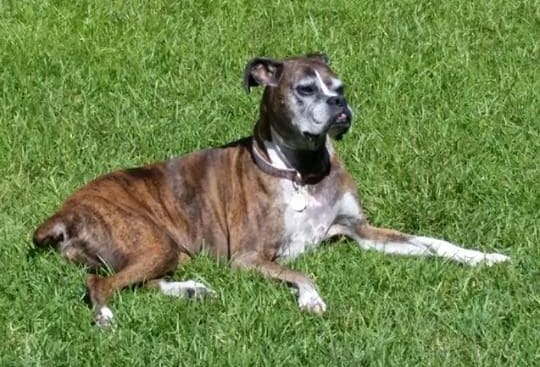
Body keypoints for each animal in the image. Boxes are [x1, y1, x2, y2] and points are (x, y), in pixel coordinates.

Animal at [33, 54, 510, 328]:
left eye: (340, 88)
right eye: (306, 89)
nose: (339, 105)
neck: (302, 172)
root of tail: (63, 213)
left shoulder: (363, 231)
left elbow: (433, 243)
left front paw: (483, 257)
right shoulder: (250, 258)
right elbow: (302, 273)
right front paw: (312, 299)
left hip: (169, 250)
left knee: (138, 282)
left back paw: (189, 291)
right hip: (151, 242)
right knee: (100, 284)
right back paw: (106, 316)